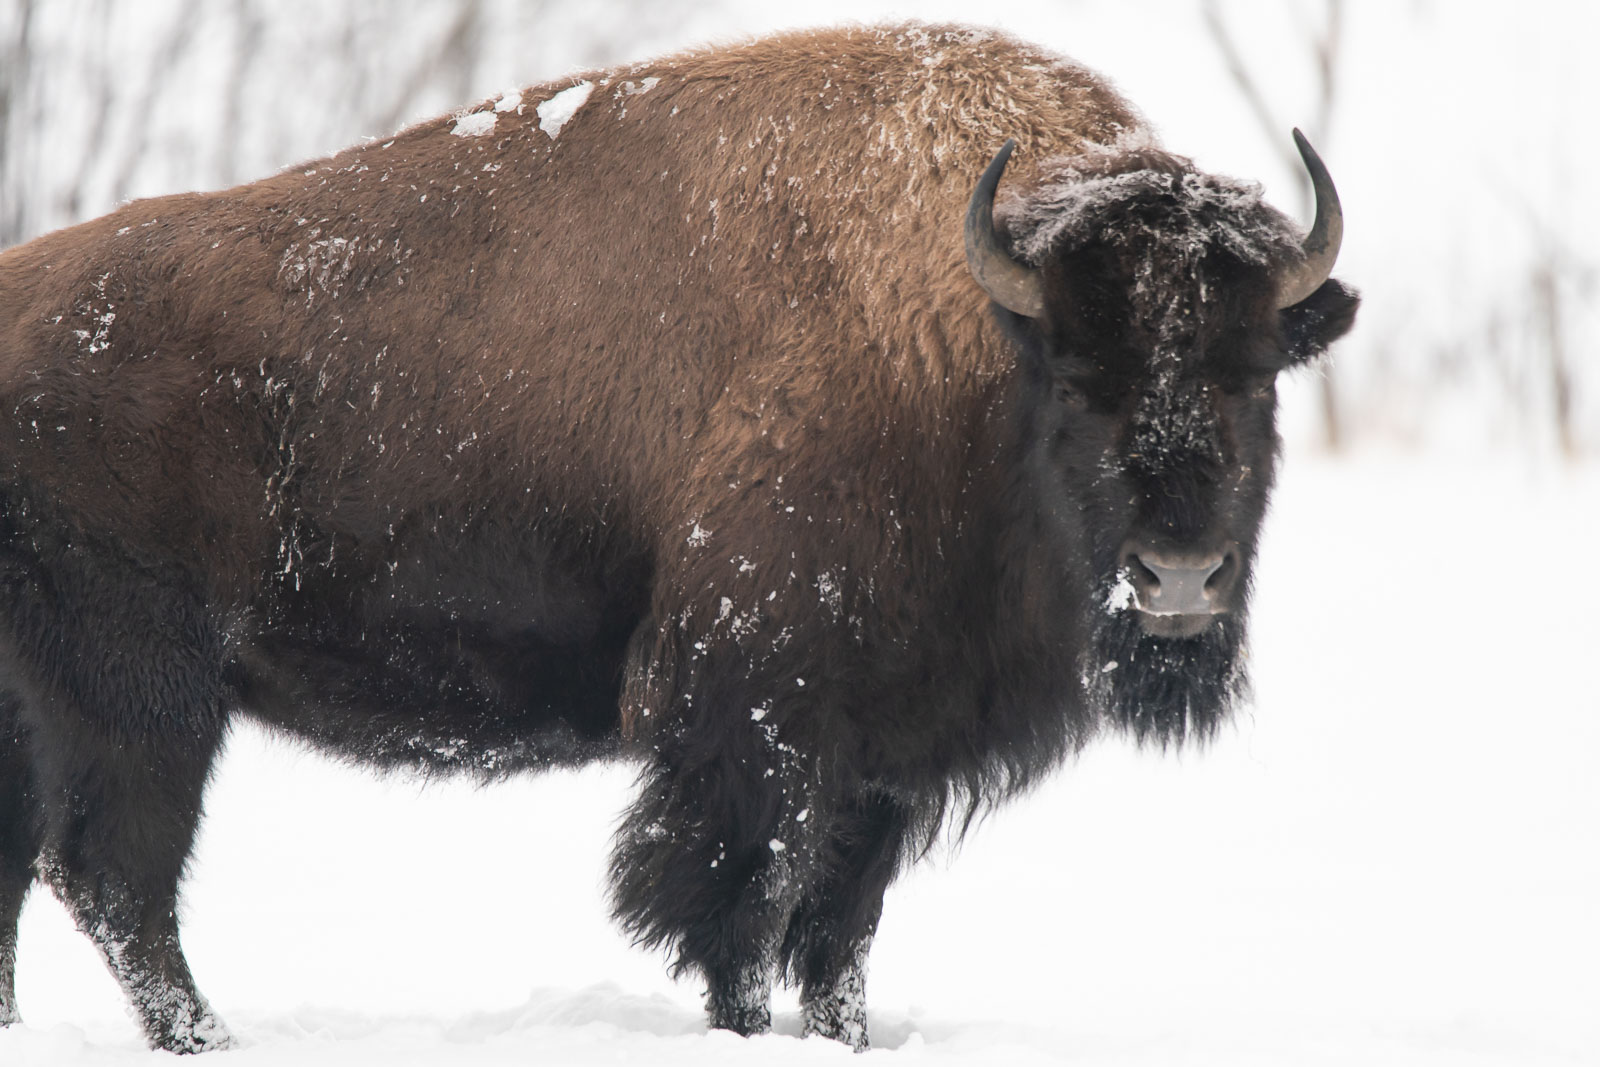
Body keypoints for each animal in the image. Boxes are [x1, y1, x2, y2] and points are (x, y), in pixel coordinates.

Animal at [0, 22, 1350, 1049]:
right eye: (1077, 380)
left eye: (1252, 376)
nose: (1177, 576)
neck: (964, 343)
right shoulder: (758, 725)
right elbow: (743, 919)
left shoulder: (884, 755)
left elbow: (838, 937)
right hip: (148, 699)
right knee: (116, 879)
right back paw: (211, 1040)